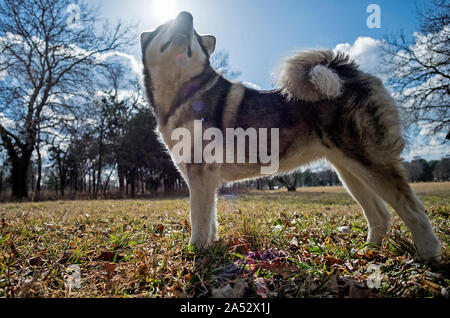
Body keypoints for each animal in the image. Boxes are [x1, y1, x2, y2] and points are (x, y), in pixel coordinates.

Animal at [139, 11, 442, 262]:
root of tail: (350, 73)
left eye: (194, 33)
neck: (183, 93)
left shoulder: (201, 174)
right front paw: (209, 247)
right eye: (165, 24)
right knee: (380, 215)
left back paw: (429, 254)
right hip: (349, 171)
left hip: (369, 162)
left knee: (412, 209)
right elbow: (209, 220)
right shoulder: (204, 179)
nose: (187, 14)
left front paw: (196, 251)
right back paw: (366, 253)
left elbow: (198, 218)